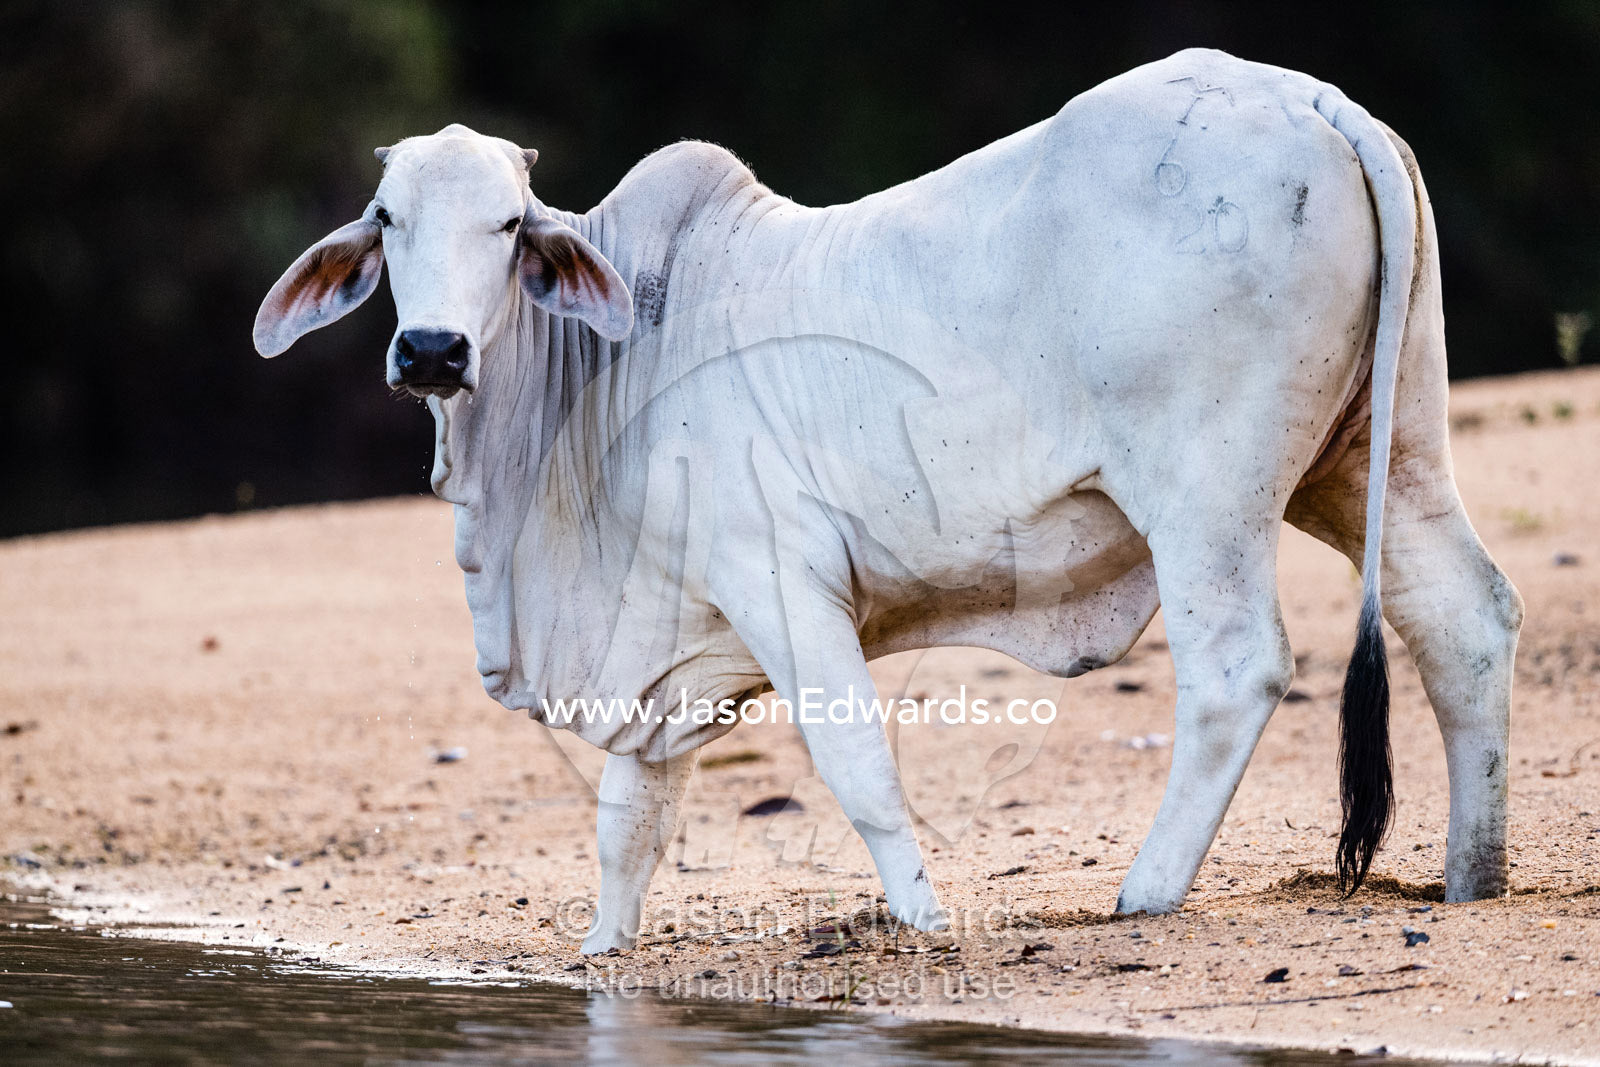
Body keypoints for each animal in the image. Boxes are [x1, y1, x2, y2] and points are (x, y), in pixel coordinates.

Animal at [254, 49, 1522, 954]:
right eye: (385, 218)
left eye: (510, 223)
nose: (431, 349)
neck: (599, 371)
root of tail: (1310, 98)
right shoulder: (663, 630)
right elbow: (629, 823)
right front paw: (600, 953)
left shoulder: (779, 577)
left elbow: (856, 762)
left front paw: (922, 920)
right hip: (1377, 456)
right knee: (1464, 618)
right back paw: (1473, 875)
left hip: (1207, 497)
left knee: (1237, 668)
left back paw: (1144, 892)